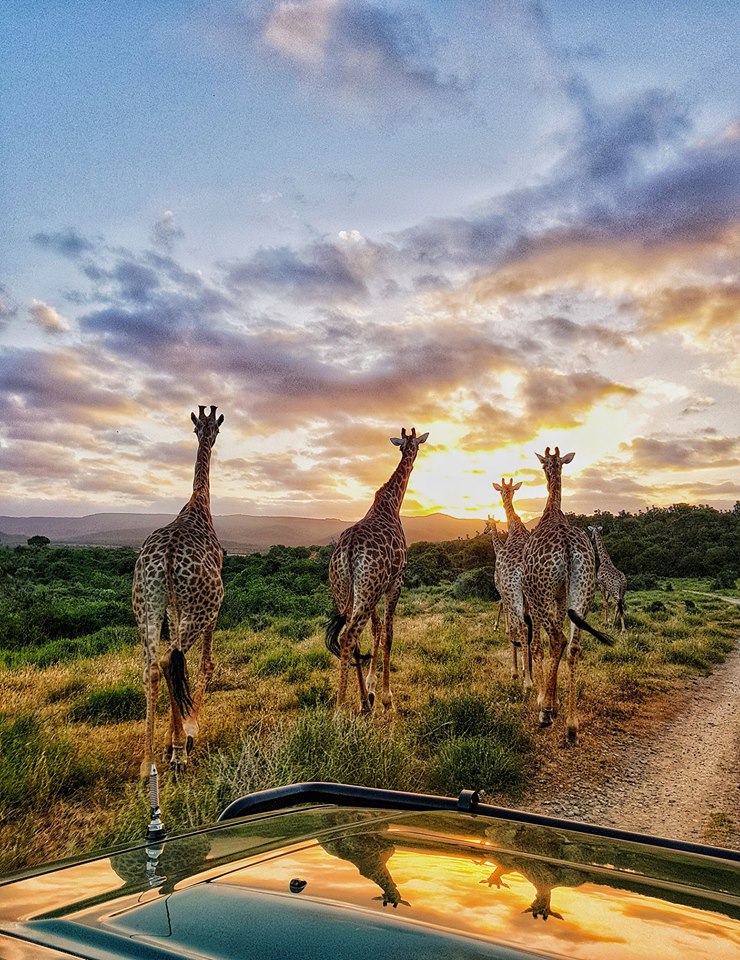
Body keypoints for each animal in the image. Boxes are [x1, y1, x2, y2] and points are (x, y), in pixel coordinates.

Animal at [133, 404, 225, 772]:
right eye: (212, 429)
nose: (209, 435)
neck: (199, 504)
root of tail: (169, 556)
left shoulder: (173, 607)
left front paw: (176, 737)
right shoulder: (211, 612)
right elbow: (206, 663)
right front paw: (190, 732)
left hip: (147, 605)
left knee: (153, 668)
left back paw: (148, 761)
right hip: (201, 608)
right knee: (173, 662)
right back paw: (178, 751)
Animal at [324, 428, 428, 712]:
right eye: (415, 444)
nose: (414, 455)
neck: (392, 503)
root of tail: (347, 551)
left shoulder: (375, 588)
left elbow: (376, 629)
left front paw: (370, 689)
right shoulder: (396, 581)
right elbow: (389, 633)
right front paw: (386, 696)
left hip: (344, 590)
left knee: (353, 637)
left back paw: (362, 702)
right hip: (367, 589)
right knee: (349, 636)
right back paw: (340, 710)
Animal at [520, 446, 612, 748]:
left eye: (542, 465)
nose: (546, 469)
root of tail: (568, 547)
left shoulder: (535, 598)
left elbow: (539, 645)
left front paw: (544, 701)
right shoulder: (562, 601)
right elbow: (554, 649)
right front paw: (555, 702)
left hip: (543, 594)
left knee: (558, 640)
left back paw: (545, 715)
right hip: (583, 593)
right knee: (573, 646)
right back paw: (572, 726)